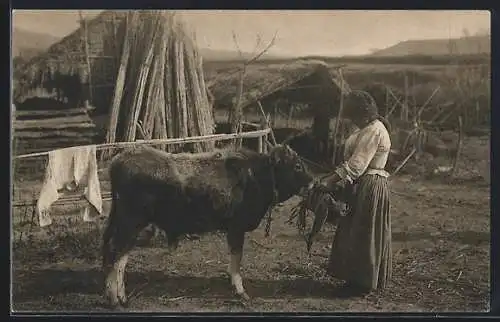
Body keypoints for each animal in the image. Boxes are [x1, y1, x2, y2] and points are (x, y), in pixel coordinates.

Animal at [101, 144, 312, 306]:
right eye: (297, 165)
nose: (312, 181)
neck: (255, 175)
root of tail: (120, 159)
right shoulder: (236, 228)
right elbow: (237, 259)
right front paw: (240, 291)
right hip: (130, 224)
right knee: (116, 255)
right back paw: (115, 299)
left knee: (120, 257)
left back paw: (121, 297)